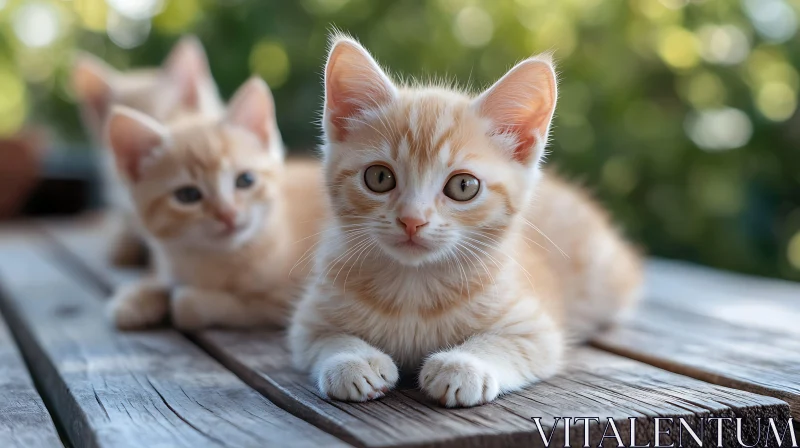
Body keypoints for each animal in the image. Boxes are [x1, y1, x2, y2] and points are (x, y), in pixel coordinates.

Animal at [104, 76, 326, 328]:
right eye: (188, 195)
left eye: (245, 180)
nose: (227, 213)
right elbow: (165, 279)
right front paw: (137, 297)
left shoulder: (286, 298)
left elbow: (200, 304)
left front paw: (182, 301)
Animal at [290, 36, 644, 408]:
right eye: (379, 177)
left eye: (463, 186)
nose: (412, 220)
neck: (413, 287)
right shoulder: (308, 320)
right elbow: (325, 338)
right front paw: (353, 361)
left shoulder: (536, 329)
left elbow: (508, 345)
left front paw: (463, 366)